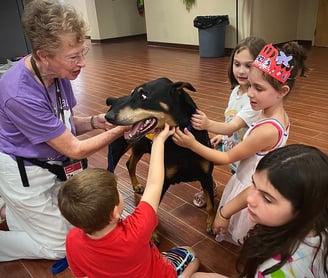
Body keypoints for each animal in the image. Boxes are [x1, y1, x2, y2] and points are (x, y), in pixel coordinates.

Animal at [105, 76, 217, 237]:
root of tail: (114, 100)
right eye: (131, 94)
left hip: (140, 146)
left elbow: (212, 205)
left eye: (143, 96)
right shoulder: (162, 178)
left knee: (130, 163)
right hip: (116, 148)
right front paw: (153, 235)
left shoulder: (206, 175)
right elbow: (152, 206)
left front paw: (211, 225)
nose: (109, 117)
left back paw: (136, 185)